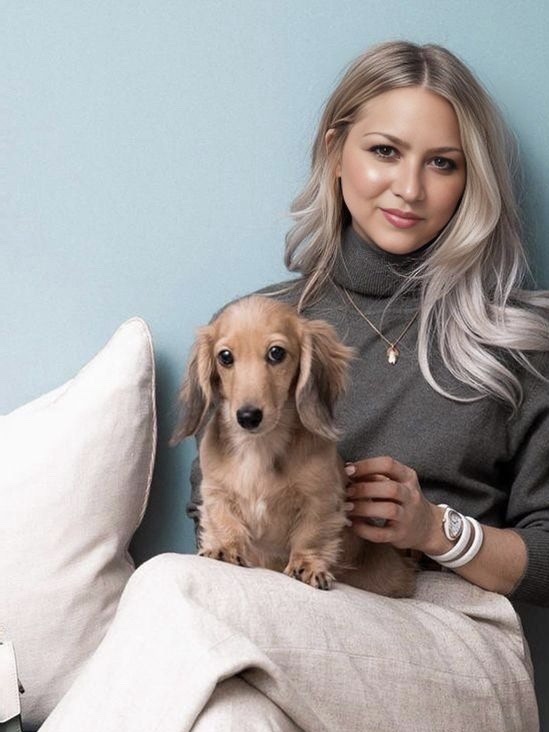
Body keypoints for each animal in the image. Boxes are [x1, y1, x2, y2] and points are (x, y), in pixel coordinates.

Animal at [171, 295, 416, 597]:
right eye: (225, 357)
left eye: (276, 353)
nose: (248, 417)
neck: (258, 446)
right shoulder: (216, 491)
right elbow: (224, 521)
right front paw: (225, 548)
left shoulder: (320, 498)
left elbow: (311, 535)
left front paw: (307, 566)